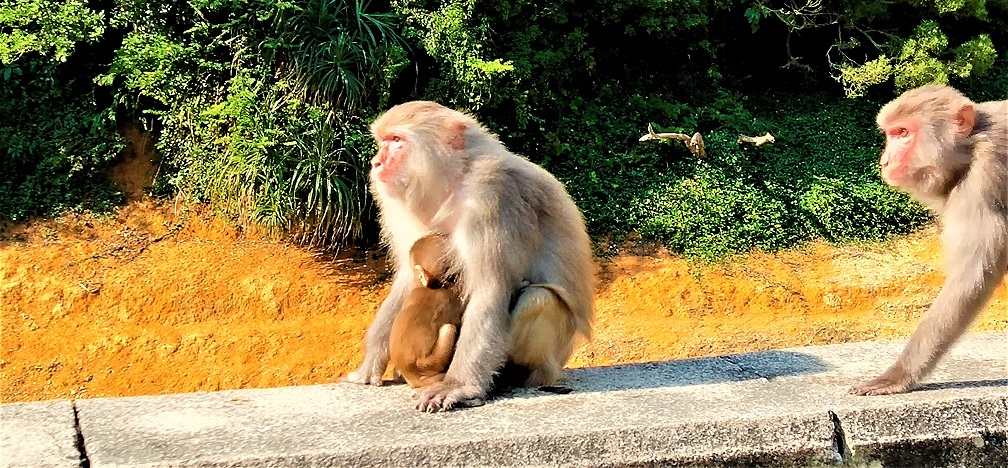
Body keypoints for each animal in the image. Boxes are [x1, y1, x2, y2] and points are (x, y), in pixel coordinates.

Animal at [850, 83, 1008, 395]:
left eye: (903, 133)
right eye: (890, 134)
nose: (885, 162)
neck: (969, 149)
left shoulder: (983, 180)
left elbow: (971, 277)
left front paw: (898, 375)